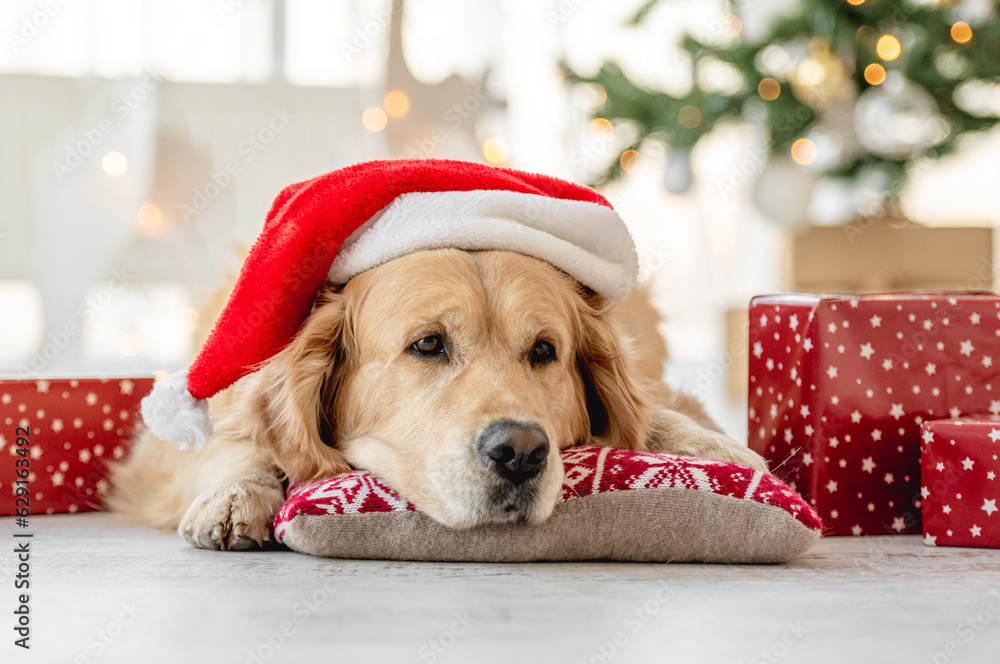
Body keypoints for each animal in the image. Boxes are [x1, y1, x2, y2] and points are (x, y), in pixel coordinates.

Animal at [109, 249, 764, 548]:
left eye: (544, 350)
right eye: (427, 344)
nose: (521, 452)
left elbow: (655, 417)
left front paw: (715, 449)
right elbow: (232, 441)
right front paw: (235, 495)